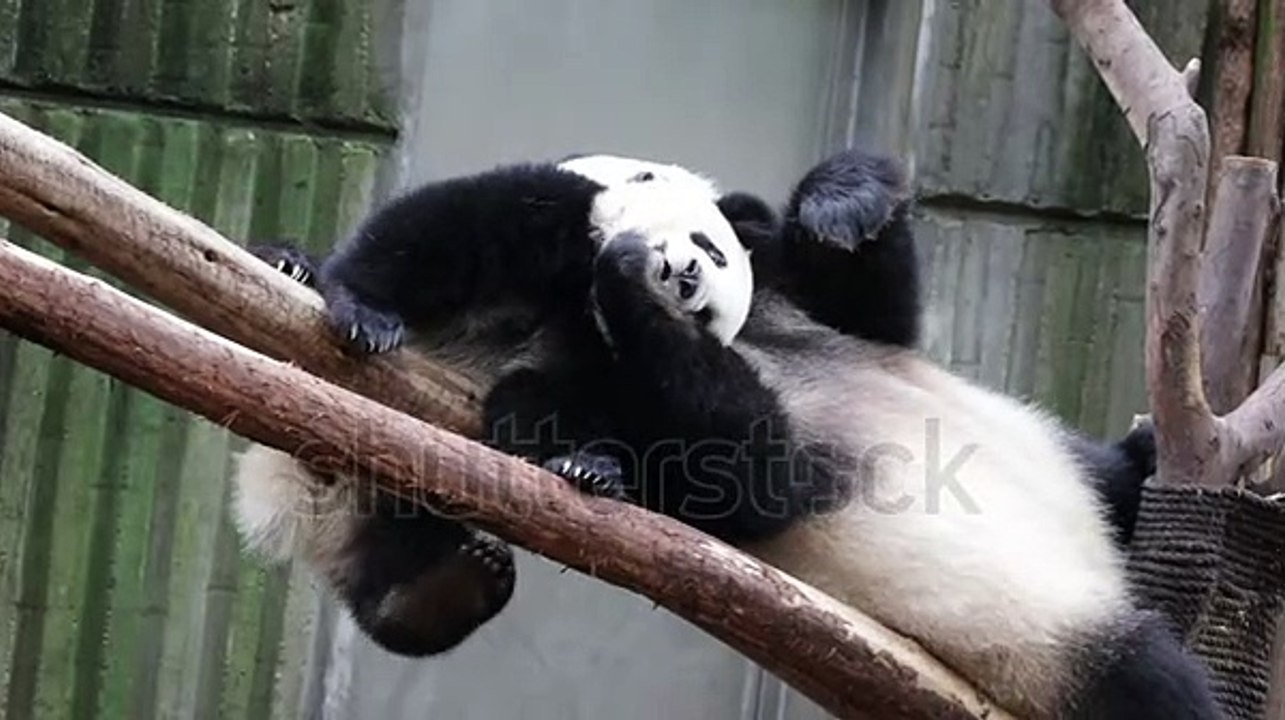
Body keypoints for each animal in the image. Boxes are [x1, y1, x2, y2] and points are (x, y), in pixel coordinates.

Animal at [235, 150, 1214, 720]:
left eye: (711, 253)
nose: (679, 273)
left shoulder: (779, 304)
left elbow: (866, 327)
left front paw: (843, 202)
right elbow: (747, 472)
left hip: (1063, 555)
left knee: (1125, 519)